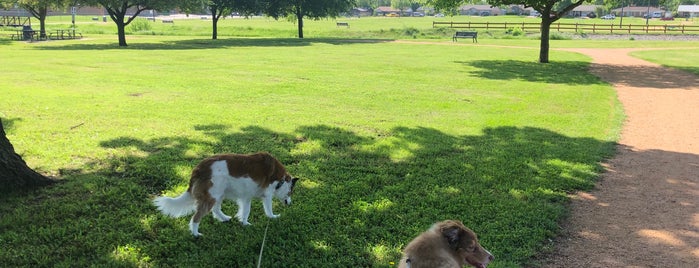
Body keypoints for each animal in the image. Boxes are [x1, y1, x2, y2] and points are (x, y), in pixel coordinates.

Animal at [154, 153, 300, 237]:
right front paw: (273, 217)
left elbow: (246, 211)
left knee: (216, 210)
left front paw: (244, 223)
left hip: (219, 194)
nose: (290, 203)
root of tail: (198, 168)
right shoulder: (267, 195)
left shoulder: (246, 197)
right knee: (196, 217)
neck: (281, 179)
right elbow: (269, 209)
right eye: (290, 192)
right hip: (212, 195)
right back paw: (196, 233)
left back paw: (224, 218)